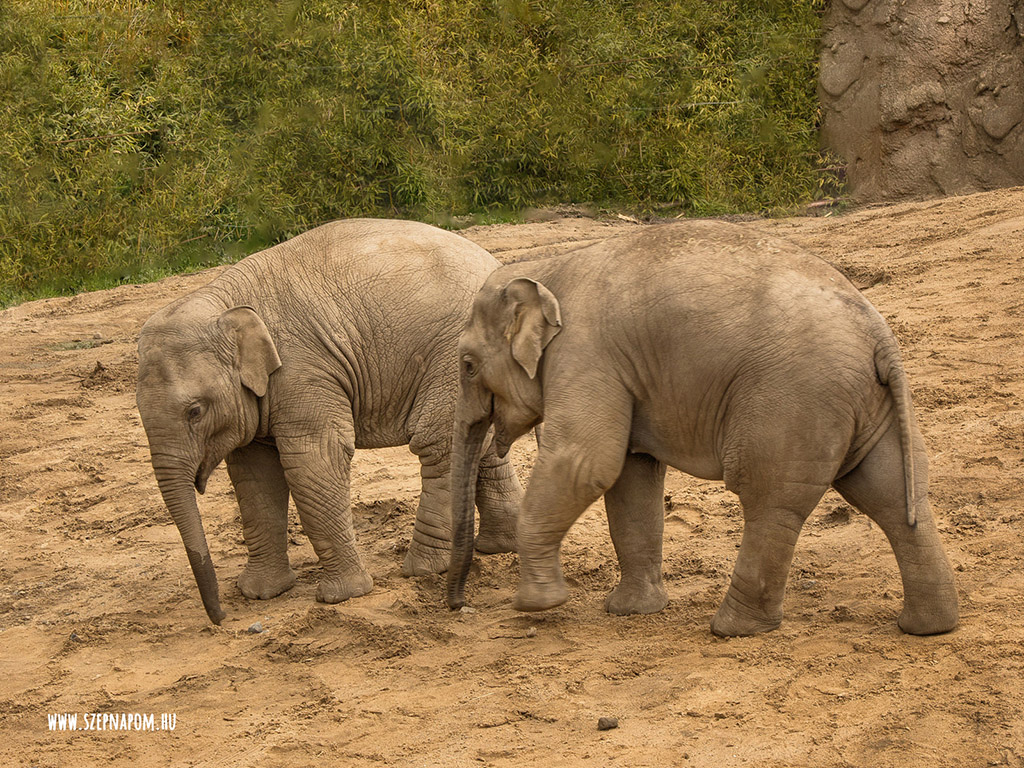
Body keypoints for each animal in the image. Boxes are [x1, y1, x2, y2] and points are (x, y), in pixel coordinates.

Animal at [136, 218, 520, 626]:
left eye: (195, 411)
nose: (221, 616)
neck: (223, 301)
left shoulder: (303, 371)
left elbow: (314, 459)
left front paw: (342, 596)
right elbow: (254, 475)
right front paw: (262, 594)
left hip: (454, 357)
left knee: (440, 445)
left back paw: (424, 569)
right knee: (479, 445)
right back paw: (498, 547)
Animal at [448, 221, 958, 638]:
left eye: (468, 365)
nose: (458, 607)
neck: (549, 265)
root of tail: (877, 331)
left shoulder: (585, 354)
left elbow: (585, 462)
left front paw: (536, 605)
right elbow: (630, 476)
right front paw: (631, 612)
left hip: (792, 400)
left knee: (769, 499)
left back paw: (732, 629)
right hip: (864, 403)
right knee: (890, 492)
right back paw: (927, 627)